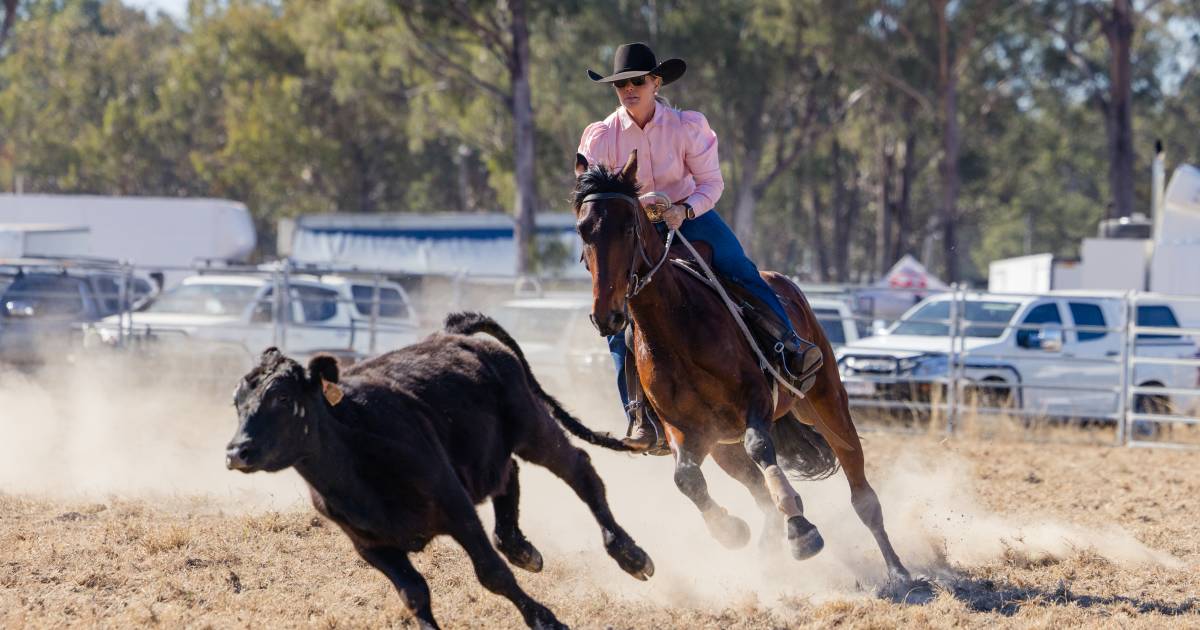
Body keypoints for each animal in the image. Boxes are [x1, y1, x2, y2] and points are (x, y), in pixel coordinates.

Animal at [571, 151, 907, 585]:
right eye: (583, 231)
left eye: (628, 227)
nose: (607, 316)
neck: (677, 327)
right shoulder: (684, 430)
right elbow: (686, 479)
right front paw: (732, 531)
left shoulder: (756, 404)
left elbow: (761, 448)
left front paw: (801, 531)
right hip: (722, 447)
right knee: (756, 489)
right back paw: (767, 551)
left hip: (828, 402)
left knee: (861, 492)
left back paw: (898, 569)